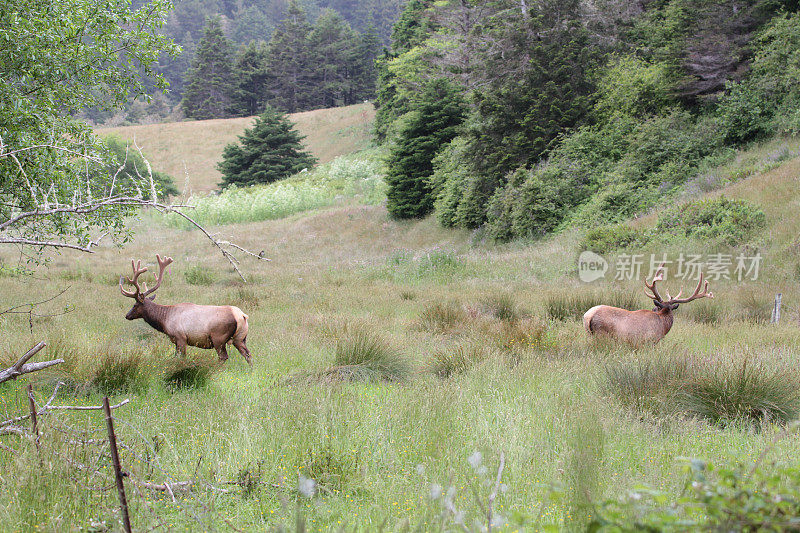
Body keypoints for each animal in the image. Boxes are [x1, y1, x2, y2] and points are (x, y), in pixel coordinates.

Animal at [116, 255, 250, 366]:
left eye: (135, 305)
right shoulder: (176, 340)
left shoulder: (180, 337)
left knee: (223, 357)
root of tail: (242, 316)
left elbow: (181, 357)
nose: (127, 315)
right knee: (248, 354)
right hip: (240, 337)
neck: (165, 320)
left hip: (219, 337)